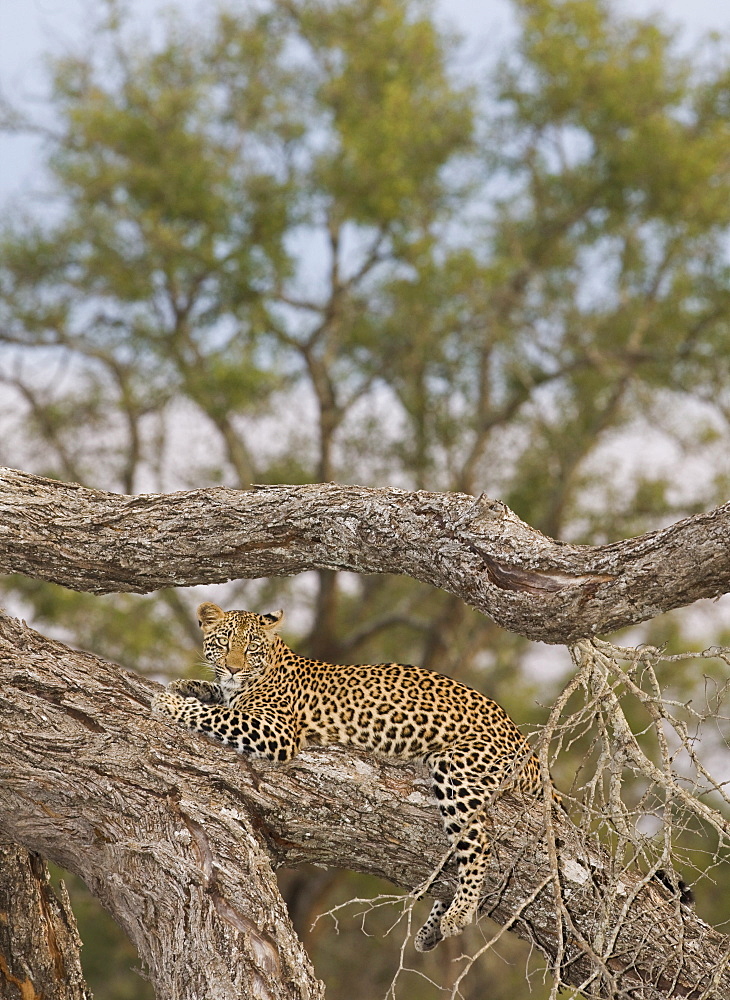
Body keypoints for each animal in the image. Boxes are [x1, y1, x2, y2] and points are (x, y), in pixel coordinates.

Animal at [154, 604, 552, 948]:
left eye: (251, 647)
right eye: (223, 641)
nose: (234, 668)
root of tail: (523, 741)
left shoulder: (277, 731)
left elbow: (218, 715)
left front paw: (171, 702)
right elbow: (216, 699)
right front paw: (186, 685)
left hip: (457, 771)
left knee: (478, 842)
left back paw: (458, 914)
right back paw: (431, 930)